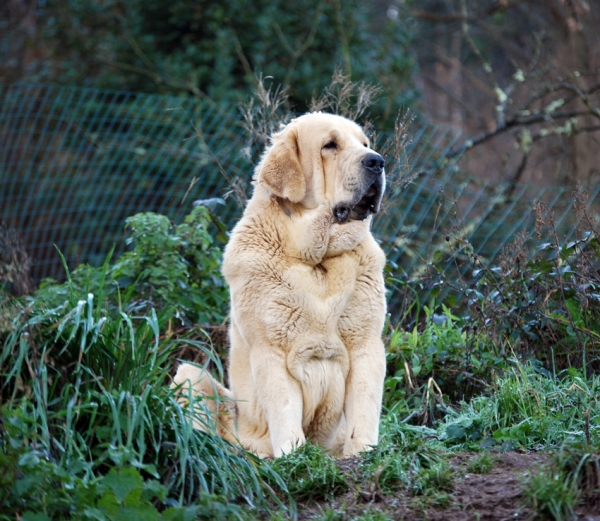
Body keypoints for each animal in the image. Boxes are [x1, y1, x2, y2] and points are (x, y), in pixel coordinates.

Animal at [172, 111, 390, 458]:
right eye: (330, 145)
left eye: (365, 144)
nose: (377, 161)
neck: (318, 257)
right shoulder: (271, 350)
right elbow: (285, 409)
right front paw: (294, 457)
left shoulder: (365, 344)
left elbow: (364, 410)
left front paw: (363, 453)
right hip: (191, 377)